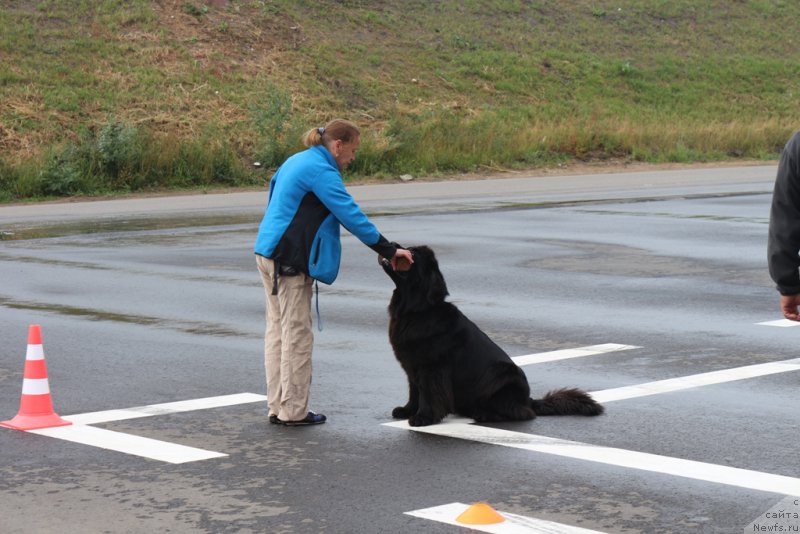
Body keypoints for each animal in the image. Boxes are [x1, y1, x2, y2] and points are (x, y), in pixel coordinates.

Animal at [380, 245, 600, 430]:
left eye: (413, 253)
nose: (393, 246)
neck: (417, 310)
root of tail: (528, 399)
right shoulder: (412, 367)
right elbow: (414, 392)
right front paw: (406, 410)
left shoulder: (431, 368)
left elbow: (427, 393)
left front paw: (423, 418)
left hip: (502, 379)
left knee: (521, 413)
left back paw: (484, 414)